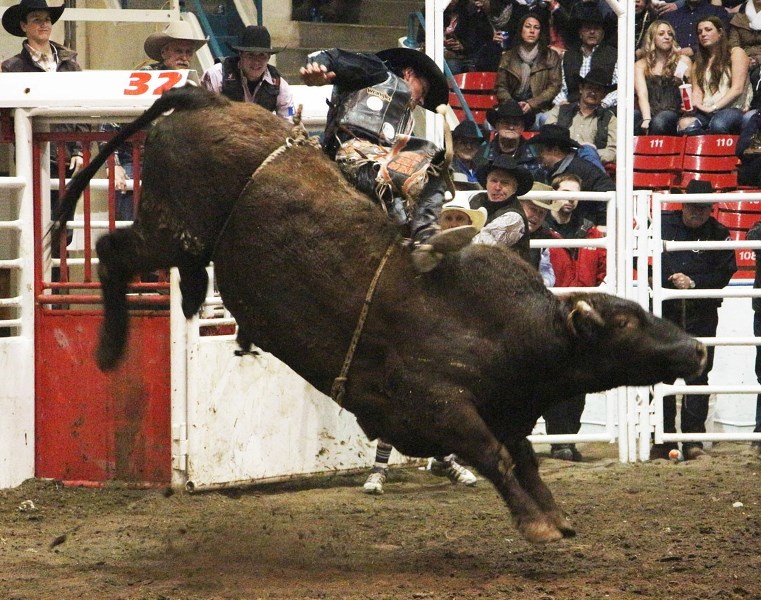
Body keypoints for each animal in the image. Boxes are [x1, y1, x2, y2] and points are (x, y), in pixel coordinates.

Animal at [55, 88, 708, 544]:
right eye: (624, 325)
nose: (699, 350)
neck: (515, 330)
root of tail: (204, 97)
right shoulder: (440, 405)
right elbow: (496, 457)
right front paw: (538, 524)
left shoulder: (504, 411)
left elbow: (521, 458)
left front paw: (554, 515)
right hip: (171, 230)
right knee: (111, 251)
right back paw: (110, 347)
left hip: (178, 237)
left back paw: (181, 298)